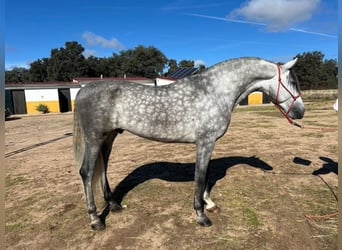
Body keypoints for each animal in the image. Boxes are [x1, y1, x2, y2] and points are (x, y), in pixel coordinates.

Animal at [73, 57, 304, 230]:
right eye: (292, 82)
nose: (301, 111)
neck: (214, 92)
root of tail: (83, 91)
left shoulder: (207, 144)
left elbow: (206, 175)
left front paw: (210, 204)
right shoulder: (205, 142)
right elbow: (200, 177)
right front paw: (201, 216)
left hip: (108, 137)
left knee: (102, 169)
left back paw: (114, 205)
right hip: (94, 139)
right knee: (87, 172)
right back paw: (95, 220)